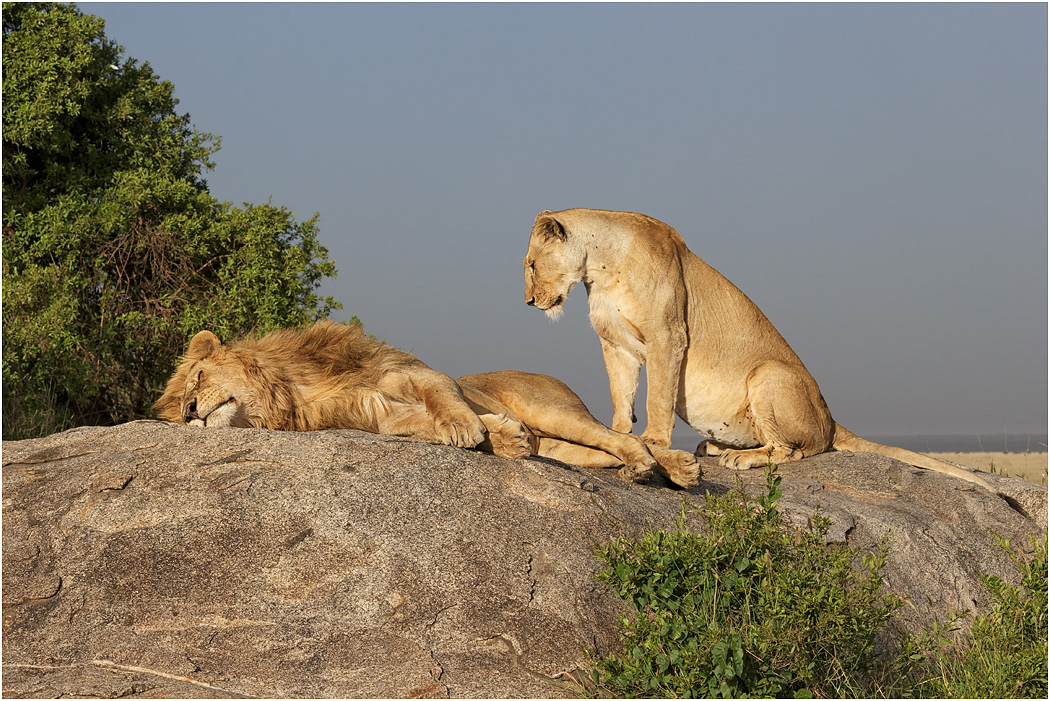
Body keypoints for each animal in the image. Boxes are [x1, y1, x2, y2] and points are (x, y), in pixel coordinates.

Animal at [153, 321, 699, 488]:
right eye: (179, 412)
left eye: (197, 378)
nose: (192, 411)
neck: (292, 389)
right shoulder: (380, 416)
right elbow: (427, 424)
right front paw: (502, 437)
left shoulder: (411, 371)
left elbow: (444, 398)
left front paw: (473, 427)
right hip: (564, 447)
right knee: (600, 450)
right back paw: (647, 469)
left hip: (554, 410)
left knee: (619, 436)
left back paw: (671, 467)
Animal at [523, 207, 996, 492]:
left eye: (529, 265)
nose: (528, 302)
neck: (598, 266)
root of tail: (831, 420)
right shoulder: (615, 343)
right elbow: (622, 397)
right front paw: (621, 435)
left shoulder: (668, 336)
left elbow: (657, 398)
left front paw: (652, 441)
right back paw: (714, 449)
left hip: (768, 373)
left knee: (796, 450)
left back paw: (740, 459)